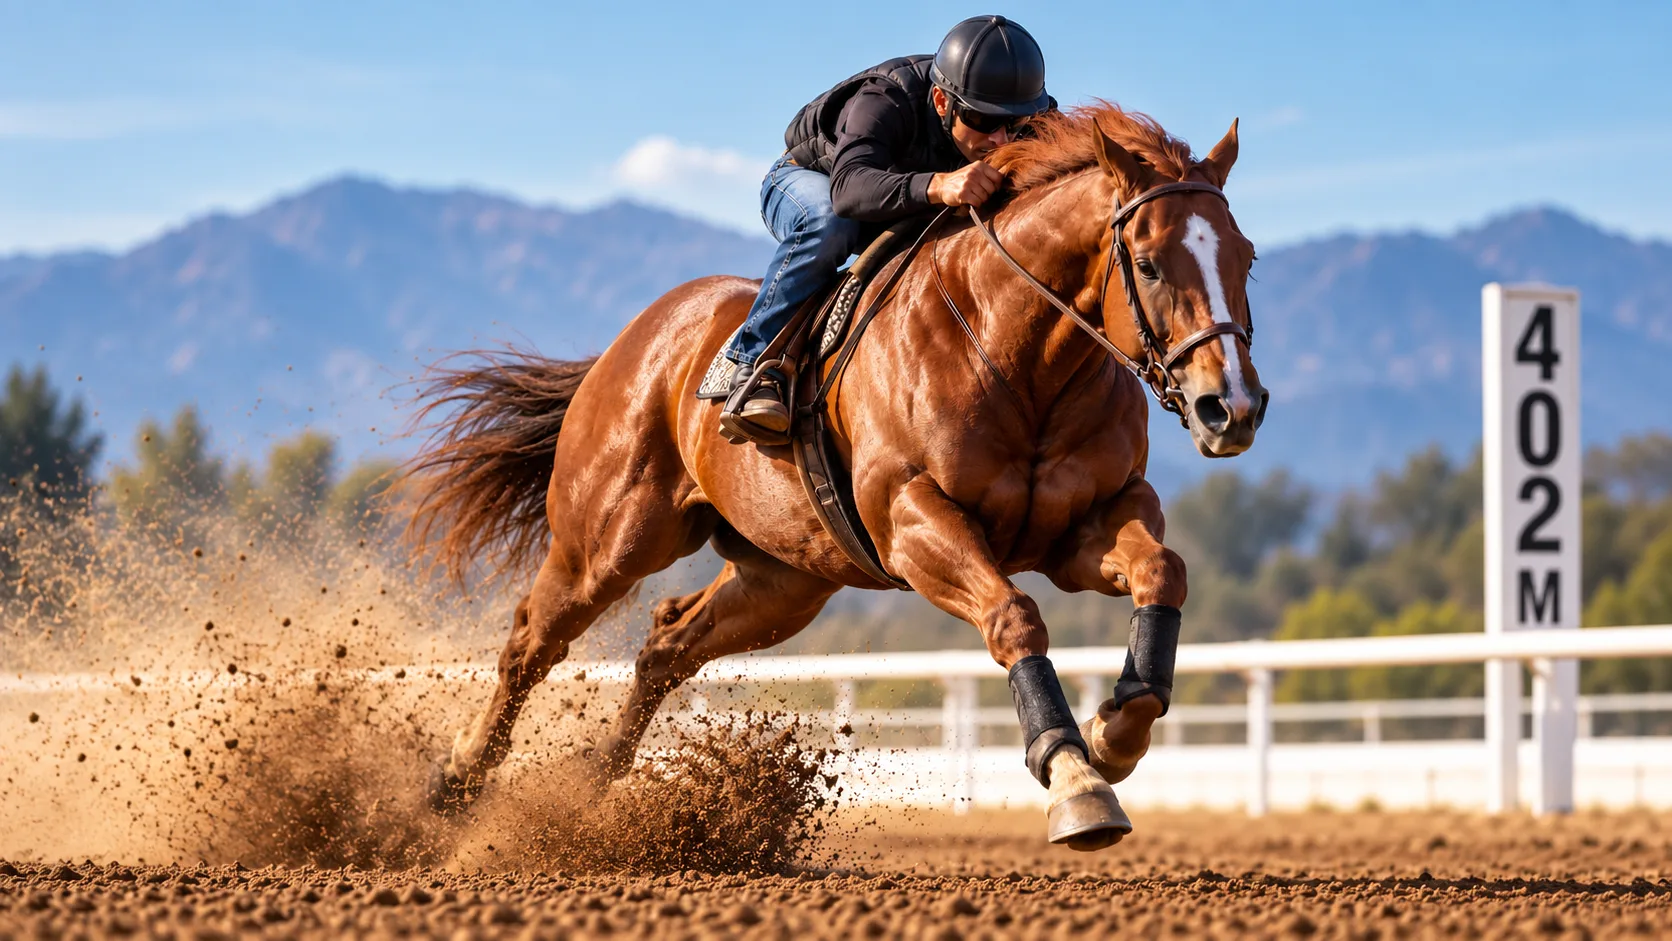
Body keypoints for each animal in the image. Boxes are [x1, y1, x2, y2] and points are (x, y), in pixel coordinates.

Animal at [405, 103, 1266, 850]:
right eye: (1149, 263)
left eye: (1246, 257)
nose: (1232, 407)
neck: (1021, 358)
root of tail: (634, 338)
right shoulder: (914, 521)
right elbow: (1014, 617)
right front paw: (1075, 779)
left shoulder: (1088, 521)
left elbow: (1164, 571)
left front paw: (1115, 732)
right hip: (608, 540)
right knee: (532, 641)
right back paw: (453, 785)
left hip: (785, 579)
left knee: (668, 643)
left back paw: (590, 787)